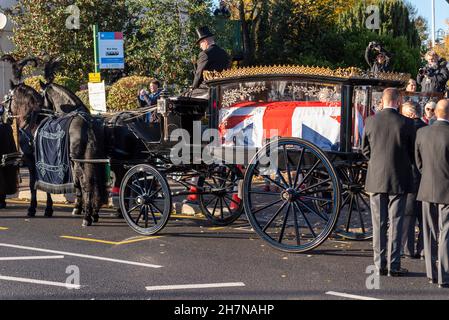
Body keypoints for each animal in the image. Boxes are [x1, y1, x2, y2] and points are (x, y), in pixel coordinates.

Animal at [1, 54, 107, 225]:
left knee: (86, 181)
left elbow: (35, 183)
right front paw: (50, 208)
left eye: (6, 99)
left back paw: (87, 216)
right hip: (91, 159)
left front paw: (34, 208)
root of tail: (87, 124)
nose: (6, 117)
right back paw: (92, 213)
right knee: (94, 181)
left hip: (79, 160)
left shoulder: (31, 159)